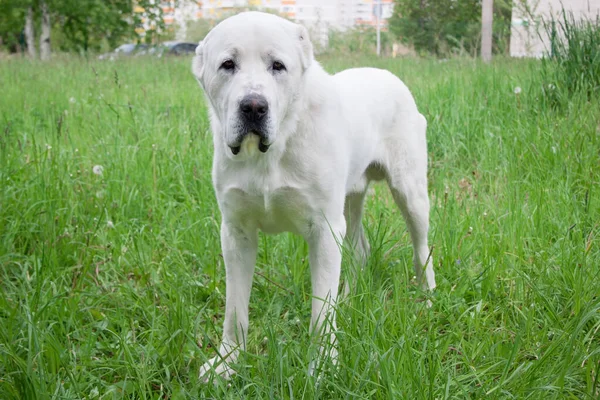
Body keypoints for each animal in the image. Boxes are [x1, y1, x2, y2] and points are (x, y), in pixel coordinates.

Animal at [192, 10, 436, 378]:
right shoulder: (235, 233)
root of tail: (388, 74)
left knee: (422, 248)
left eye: (278, 65)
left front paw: (321, 367)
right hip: (349, 202)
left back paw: (428, 298)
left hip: (410, 193)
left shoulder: (324, 228)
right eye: (227, 65)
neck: (270, 153)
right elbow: (235, 309)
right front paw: (227, 362)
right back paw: (348, 300)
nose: (253, 106)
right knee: (359, 250)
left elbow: (321, 311)